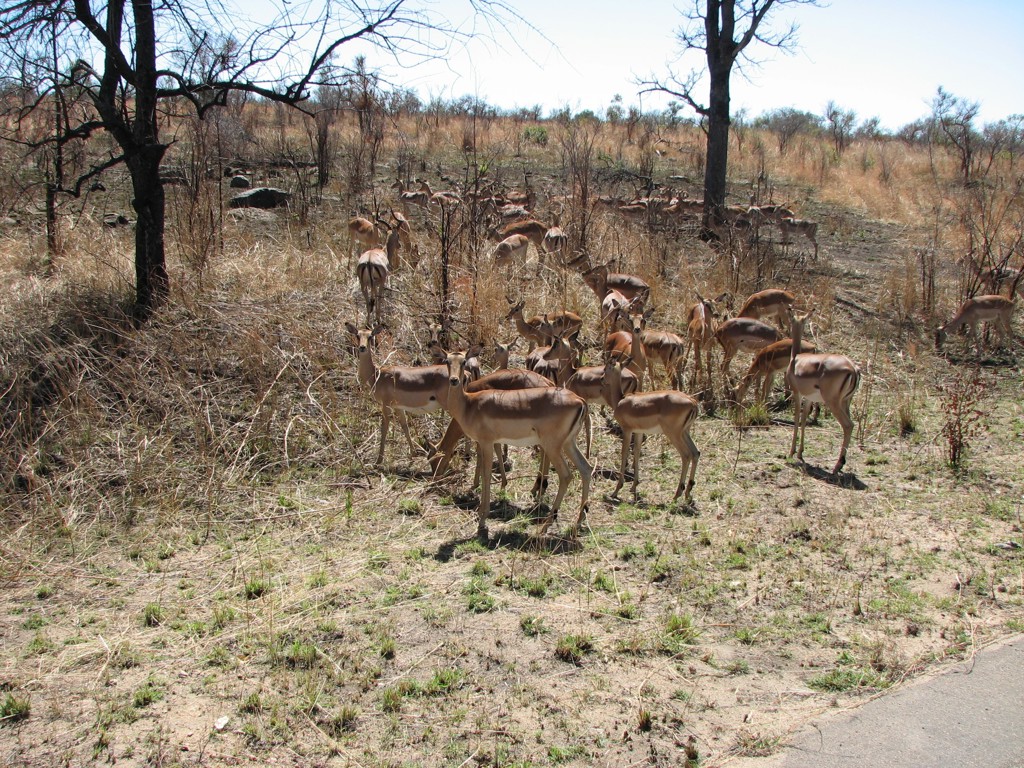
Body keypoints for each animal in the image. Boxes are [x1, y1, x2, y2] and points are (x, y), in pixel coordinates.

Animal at [345, 323, 448, 467]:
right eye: (358, 335)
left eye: (370, 336)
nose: (362, 347)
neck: (377, 375)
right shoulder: (398, 407)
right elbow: (405, 426)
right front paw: (413, 454)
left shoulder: (385, 406)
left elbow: (384, 429)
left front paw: (378, 461)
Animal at [443, 352, 593, 543]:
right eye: (447, 361)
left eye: (463, 362)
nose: (454, 380)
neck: (470, 405)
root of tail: (579, 400)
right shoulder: (488, 443)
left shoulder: (486, 443)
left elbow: (486, 475)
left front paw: (482, 521)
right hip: (568, 443)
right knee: (586, 469)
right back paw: (577, 523)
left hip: (552, 446)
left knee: (566, 476)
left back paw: (545, 526)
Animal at [603, 359, 700, 505]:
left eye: (605, 368)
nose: (602, 379)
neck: (621, 399)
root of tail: (693, 402)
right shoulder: (638, 432)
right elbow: (636, 452)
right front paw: (633, 487)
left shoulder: (627, 430)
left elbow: (624, 453)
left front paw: (615, 491)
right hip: (684, 432)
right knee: (695, 453)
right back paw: (688, 494)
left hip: (673, 433)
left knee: (686, 455)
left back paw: (676, 495)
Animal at [785, 309, 861, 475]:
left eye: (792, 320)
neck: (796, 359)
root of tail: (852, 368)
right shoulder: (809, 398)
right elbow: (804, 419)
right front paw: (800, 453)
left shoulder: (797, 393)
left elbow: (797, 418)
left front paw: (791, 452)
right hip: (846, 402)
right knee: (850, 425)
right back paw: (841, 464)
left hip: (833, 402)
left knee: (848, 425)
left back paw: (837, 466)